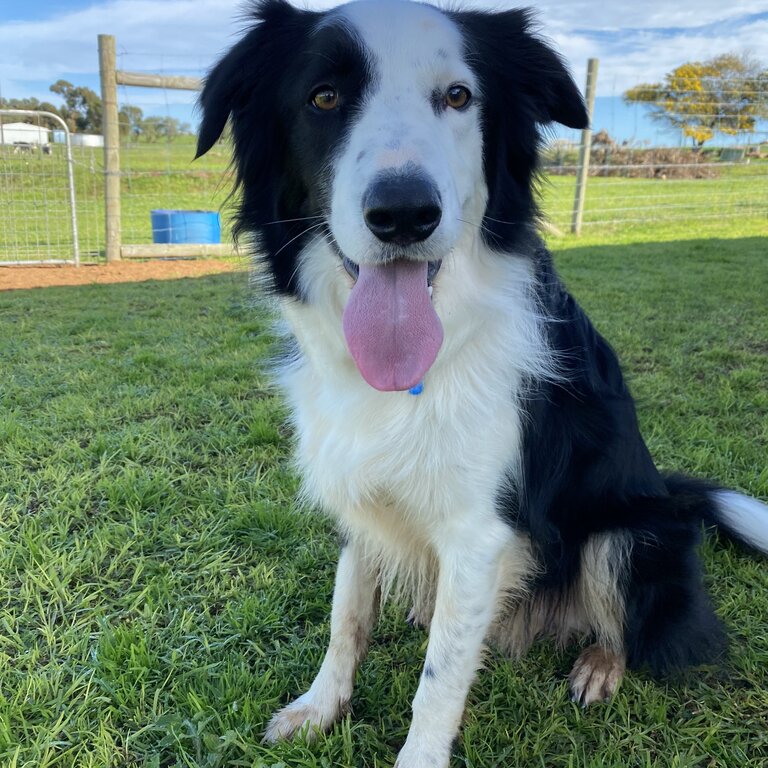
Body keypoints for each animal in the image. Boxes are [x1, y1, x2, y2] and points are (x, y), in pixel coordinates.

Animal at [196, 3, 768, 764]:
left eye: (458, 97)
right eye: (323, 98)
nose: (405, 213)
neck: (415, 366)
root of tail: (672, 494)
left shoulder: (479, 532)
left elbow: (439, 680)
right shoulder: (357, 490)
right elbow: (346, 614)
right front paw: (322, 707)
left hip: (627, 535)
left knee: (625, 620)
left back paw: (599, 665)